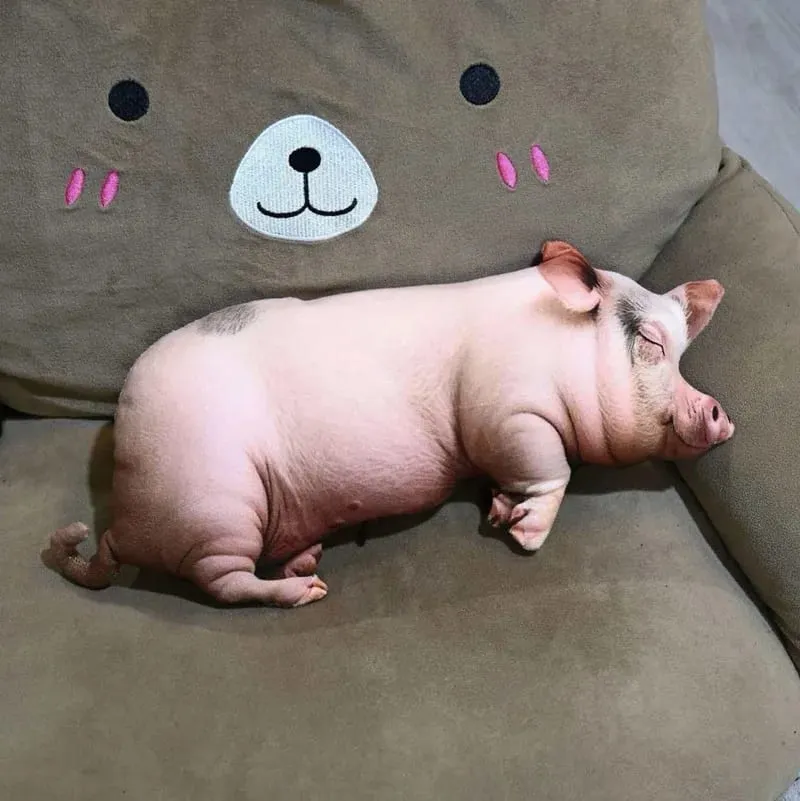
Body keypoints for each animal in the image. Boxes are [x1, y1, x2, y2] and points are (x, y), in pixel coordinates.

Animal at [45, 240, 734, 608]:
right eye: (651, 343)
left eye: (682, 351)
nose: (721, 413)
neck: (561, 351)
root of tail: (122, 522)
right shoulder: (507, 411)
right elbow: (550, 467)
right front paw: (525, 535)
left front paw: (497, 512)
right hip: (214, 503)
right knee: (225, 583)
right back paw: (309, 592)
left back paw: (306, 559)